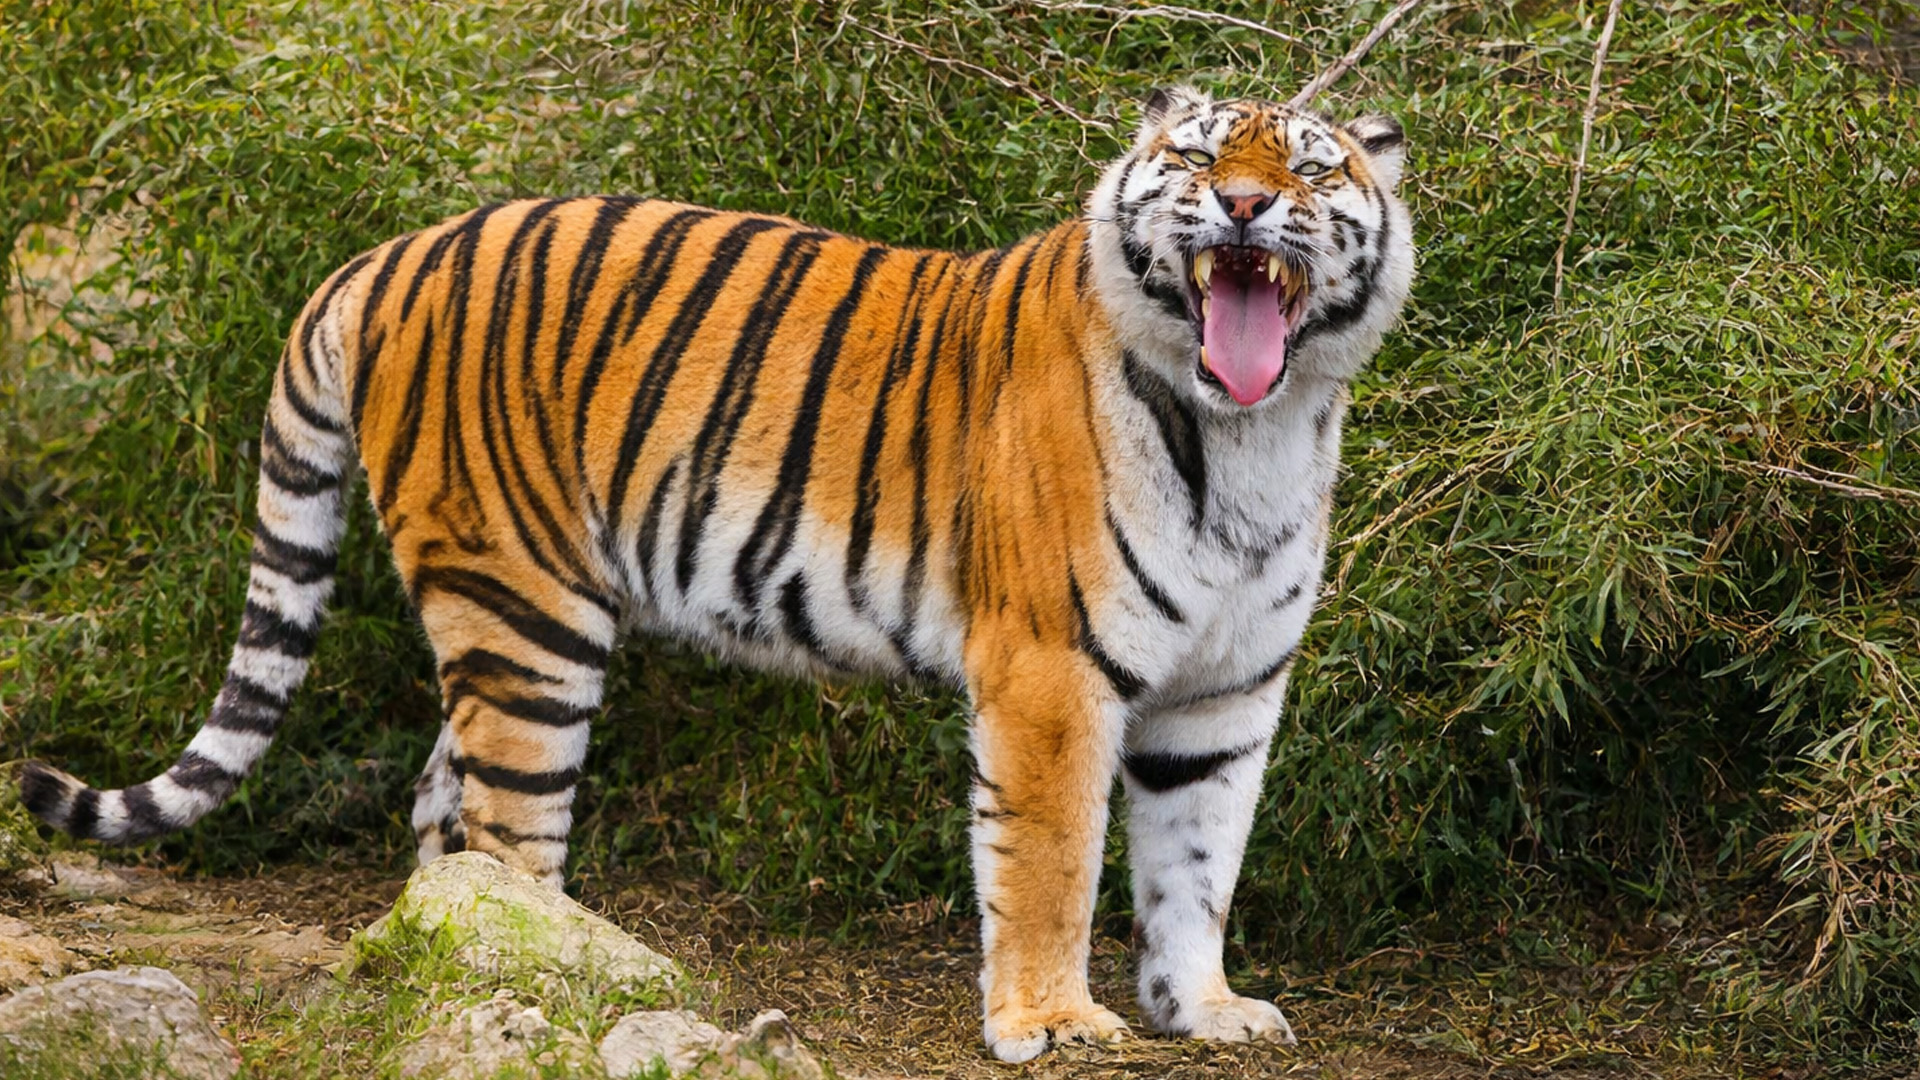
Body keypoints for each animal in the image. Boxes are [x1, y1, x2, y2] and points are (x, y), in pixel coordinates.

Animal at [19, 86, 1412, 1062]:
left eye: (1309, 166)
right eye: (1199, 160)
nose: (1244, 210)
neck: (1257, 432)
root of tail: (396, 249)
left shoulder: (1227, 691)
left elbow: (1199, 862)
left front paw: (1202, 1009)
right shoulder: (1049, 671)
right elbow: (1053, 863)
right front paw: (1052, 1024)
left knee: (442, 816)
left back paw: (452, 965)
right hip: (526, 610)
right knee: (507, 832)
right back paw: (542, 980)